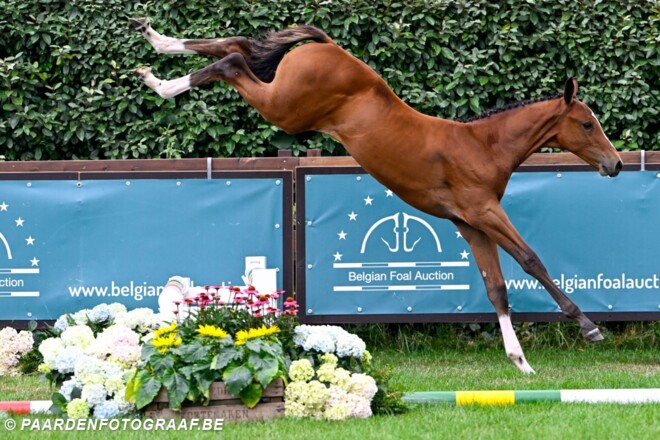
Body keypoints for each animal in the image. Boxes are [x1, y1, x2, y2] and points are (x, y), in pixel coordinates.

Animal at [131, 19, 623, 374]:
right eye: (586, 123)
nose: (615, 163)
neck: (483, 145)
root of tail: (329, 45)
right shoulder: (485, 212)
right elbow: (531, 260)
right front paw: (588, 327)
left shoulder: (470, 225)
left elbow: (497, 289)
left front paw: (520, 362)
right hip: (285, 109)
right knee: (233, 61)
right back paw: (161, 83)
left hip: (283, 101)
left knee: (234, 45)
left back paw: (156, 46)